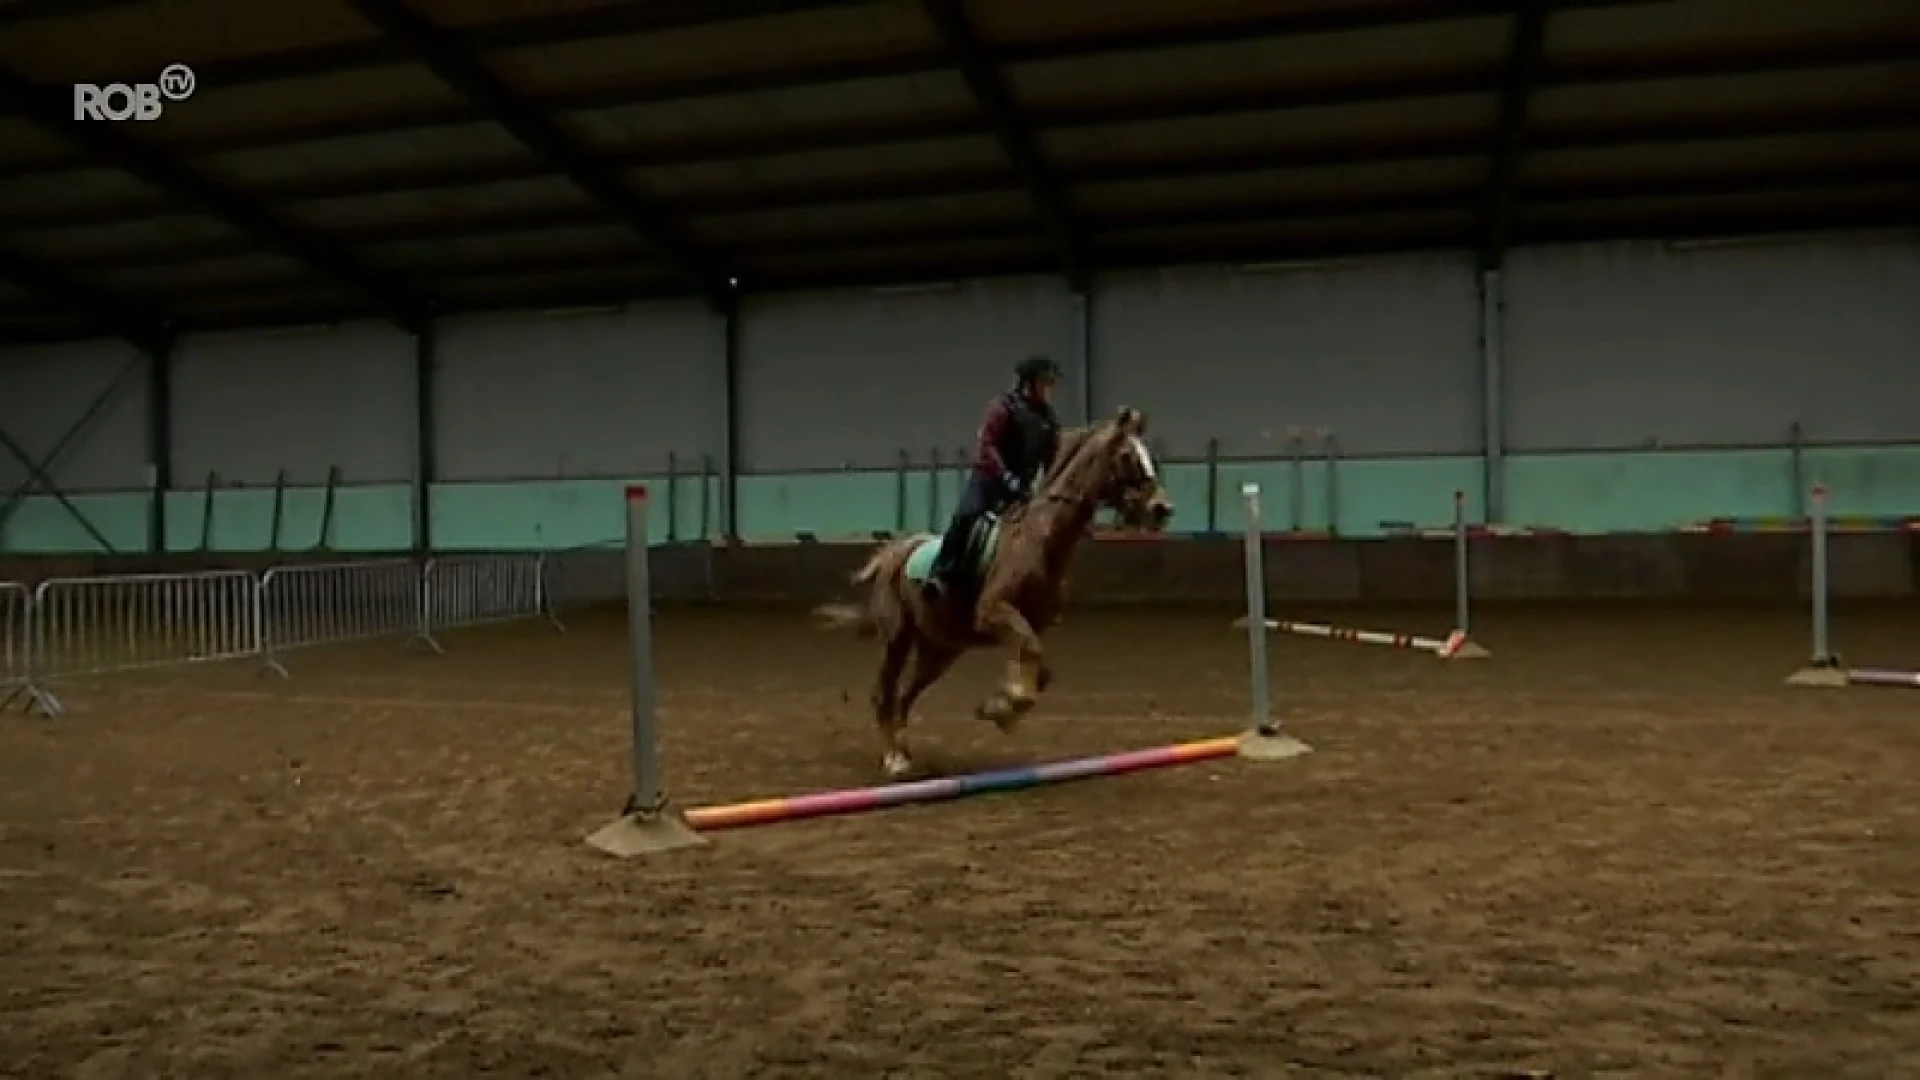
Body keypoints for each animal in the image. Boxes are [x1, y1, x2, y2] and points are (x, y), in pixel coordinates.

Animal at [817, 407, 1175, 776]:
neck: (1039, 538)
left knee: (904, 695)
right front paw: (1003, 707)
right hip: (896, 639)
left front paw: (1003, 706)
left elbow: (1040, 666)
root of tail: (894, 552)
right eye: (1127, 456)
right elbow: (1031, 655)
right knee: (883, 694)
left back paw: (904, 750)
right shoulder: (993, 611)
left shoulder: (1032, 624)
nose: (1162, 508)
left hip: (940, 650)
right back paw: (894, 758)